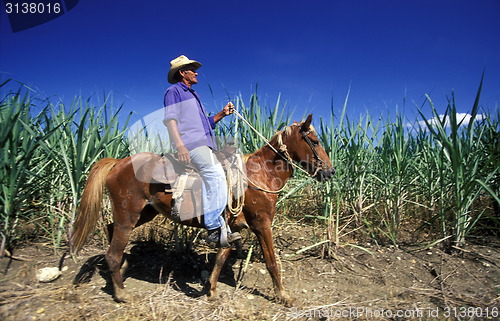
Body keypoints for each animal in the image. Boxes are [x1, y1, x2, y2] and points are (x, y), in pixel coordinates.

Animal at [69, 113, 332, 304]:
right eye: (315, 141)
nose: (330, 171)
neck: (260, 175)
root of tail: (118, 162)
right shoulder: (262, 224)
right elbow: (271, 261)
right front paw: (283, 296)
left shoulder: (232, 226)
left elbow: (221, 257)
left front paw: (212, 291)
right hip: (129, 215)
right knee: (112, 251)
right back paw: (122, 293)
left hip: (145, 212)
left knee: (110, 228)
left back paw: (122, 270)